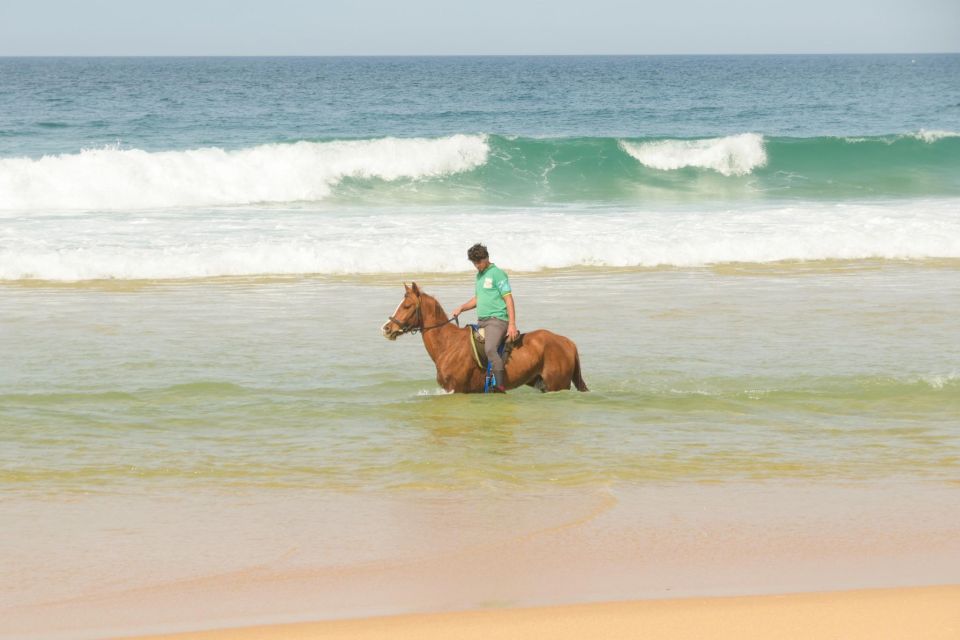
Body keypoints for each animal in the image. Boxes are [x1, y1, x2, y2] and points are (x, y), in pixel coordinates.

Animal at [380, 282, 584, 392]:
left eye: (406, 306)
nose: (387, 328)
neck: (448, 344)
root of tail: (568, 342)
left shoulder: (457, 389)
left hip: (557, 385)